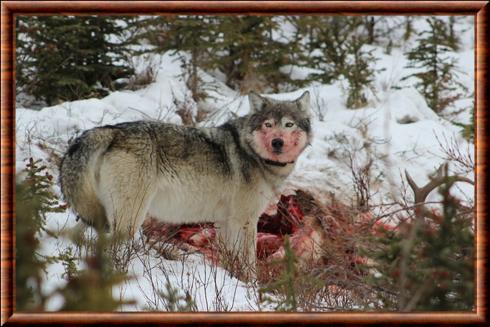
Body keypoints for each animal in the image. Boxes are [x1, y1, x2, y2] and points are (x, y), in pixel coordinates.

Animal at [59, 90, 312, 276]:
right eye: (268, 125)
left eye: (288, 125)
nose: (277, 142)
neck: (255, 155)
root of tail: (110, 131)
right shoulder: (245, 220)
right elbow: (248, 261)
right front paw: (251, 289)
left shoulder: (224, 222)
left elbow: (227, 257)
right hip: (129, 219)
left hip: (99, 214)